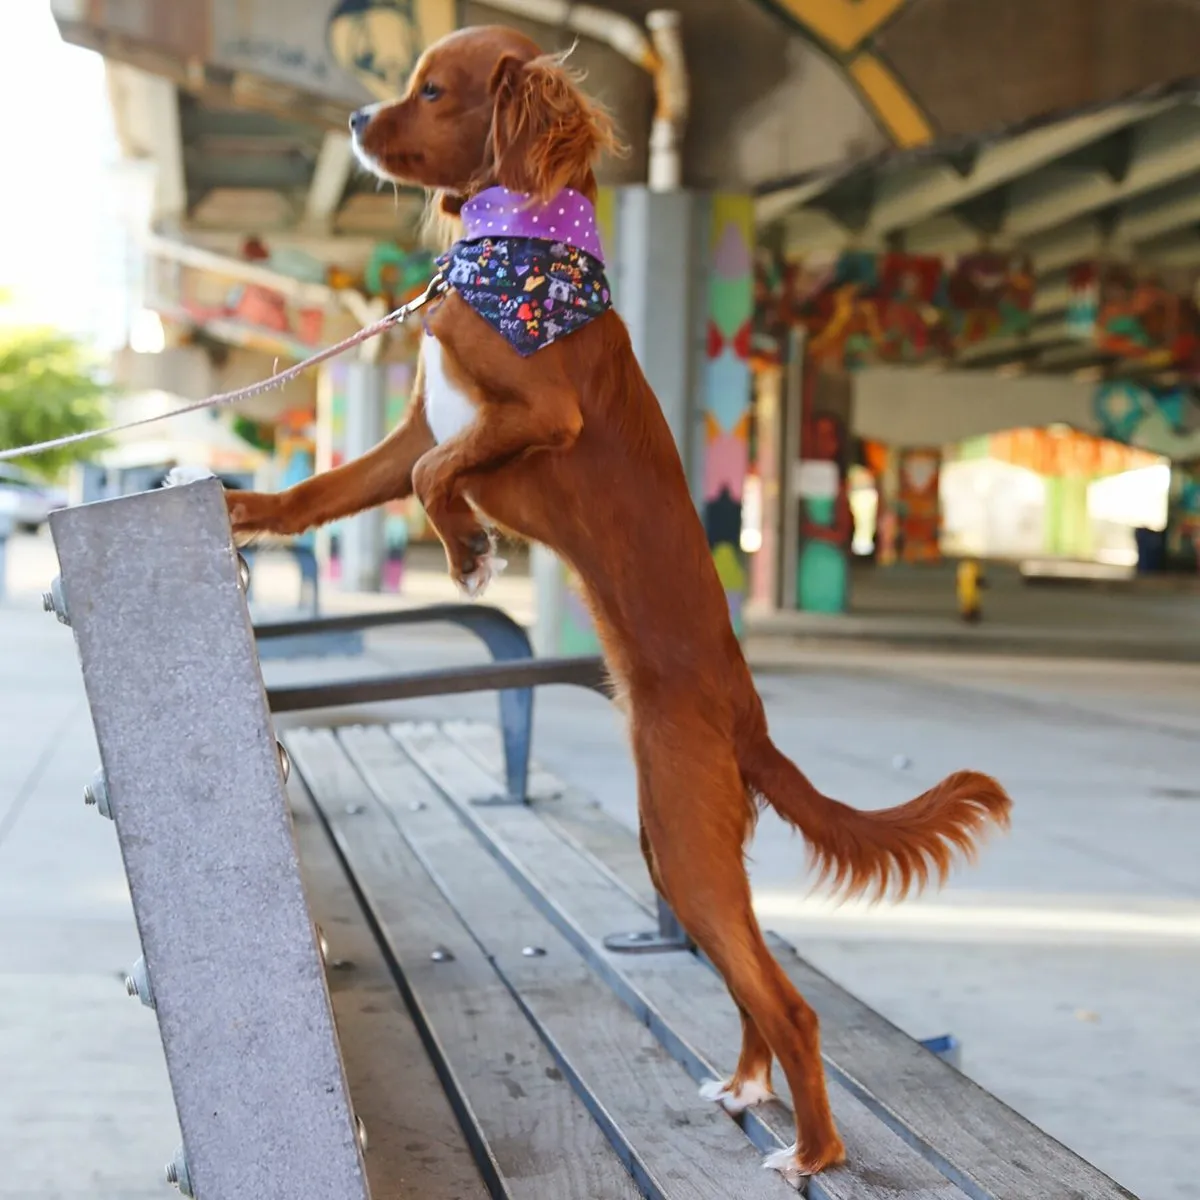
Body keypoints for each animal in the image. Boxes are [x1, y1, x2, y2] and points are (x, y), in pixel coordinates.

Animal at [220, 23, 1008, 1185]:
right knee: (749, 985)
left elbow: (439, 478)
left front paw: (469, 554)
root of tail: (750, 720)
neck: (511, 249)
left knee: (790, 1004)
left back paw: (812, 1153)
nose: (357, 121)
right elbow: (327, 490)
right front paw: (243, 510)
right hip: (674, 844)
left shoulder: (532, 414)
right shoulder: (413, 433)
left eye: (432, 91)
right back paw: (744, 1088)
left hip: (681, 844)